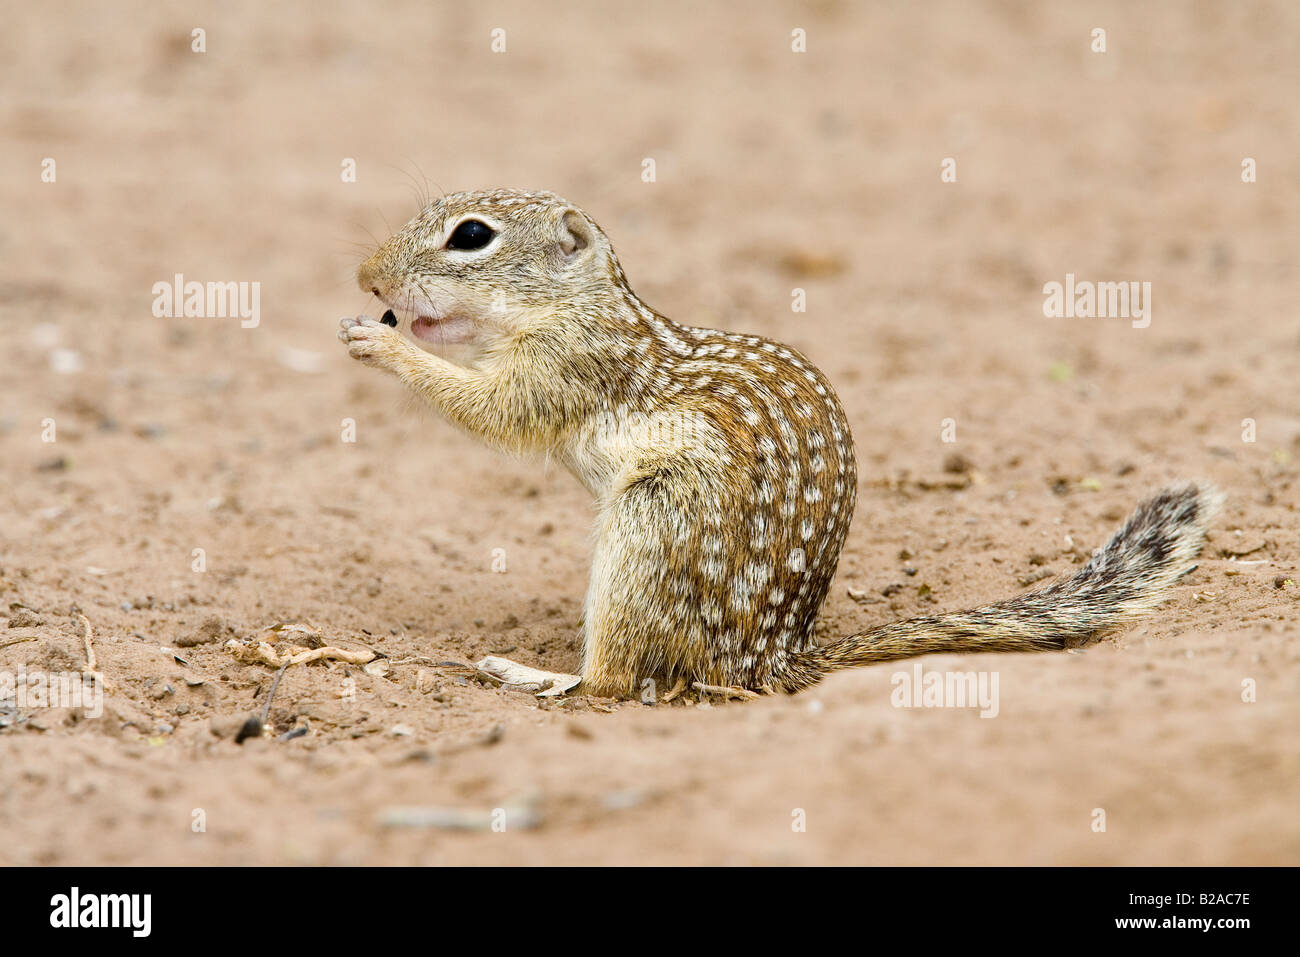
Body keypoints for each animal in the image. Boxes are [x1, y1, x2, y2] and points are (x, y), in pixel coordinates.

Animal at [340, 187, 1222, 696]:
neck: (581, 305)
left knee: (613, 685)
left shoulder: (570, 364)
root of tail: (768, 660)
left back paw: (533, 674)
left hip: (652, 525)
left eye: (472, 236)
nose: (366, 276)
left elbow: (496, 409)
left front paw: (383, 345)